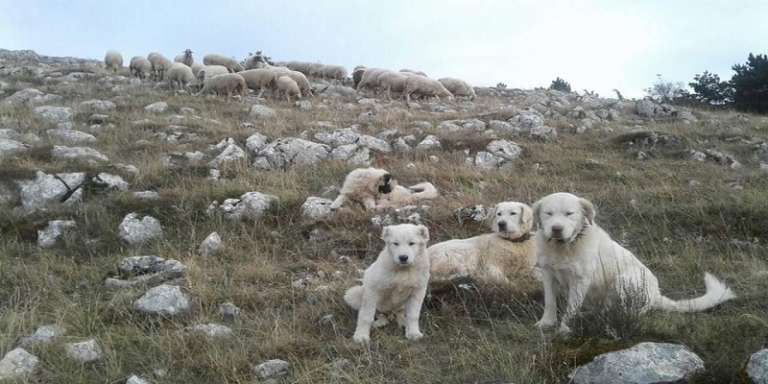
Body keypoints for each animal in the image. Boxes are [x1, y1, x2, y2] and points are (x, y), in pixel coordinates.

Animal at [532, 194, 736, 334]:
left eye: (569, 214)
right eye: (548, 214)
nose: (556, 229)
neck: (563, 248)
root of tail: (656, 294)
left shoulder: (580, 281)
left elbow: (571, 309)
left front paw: (565, 328)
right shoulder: (548, 275)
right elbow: (550, 302)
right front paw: (547, 323)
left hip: (625, 279)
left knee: (633, 311)